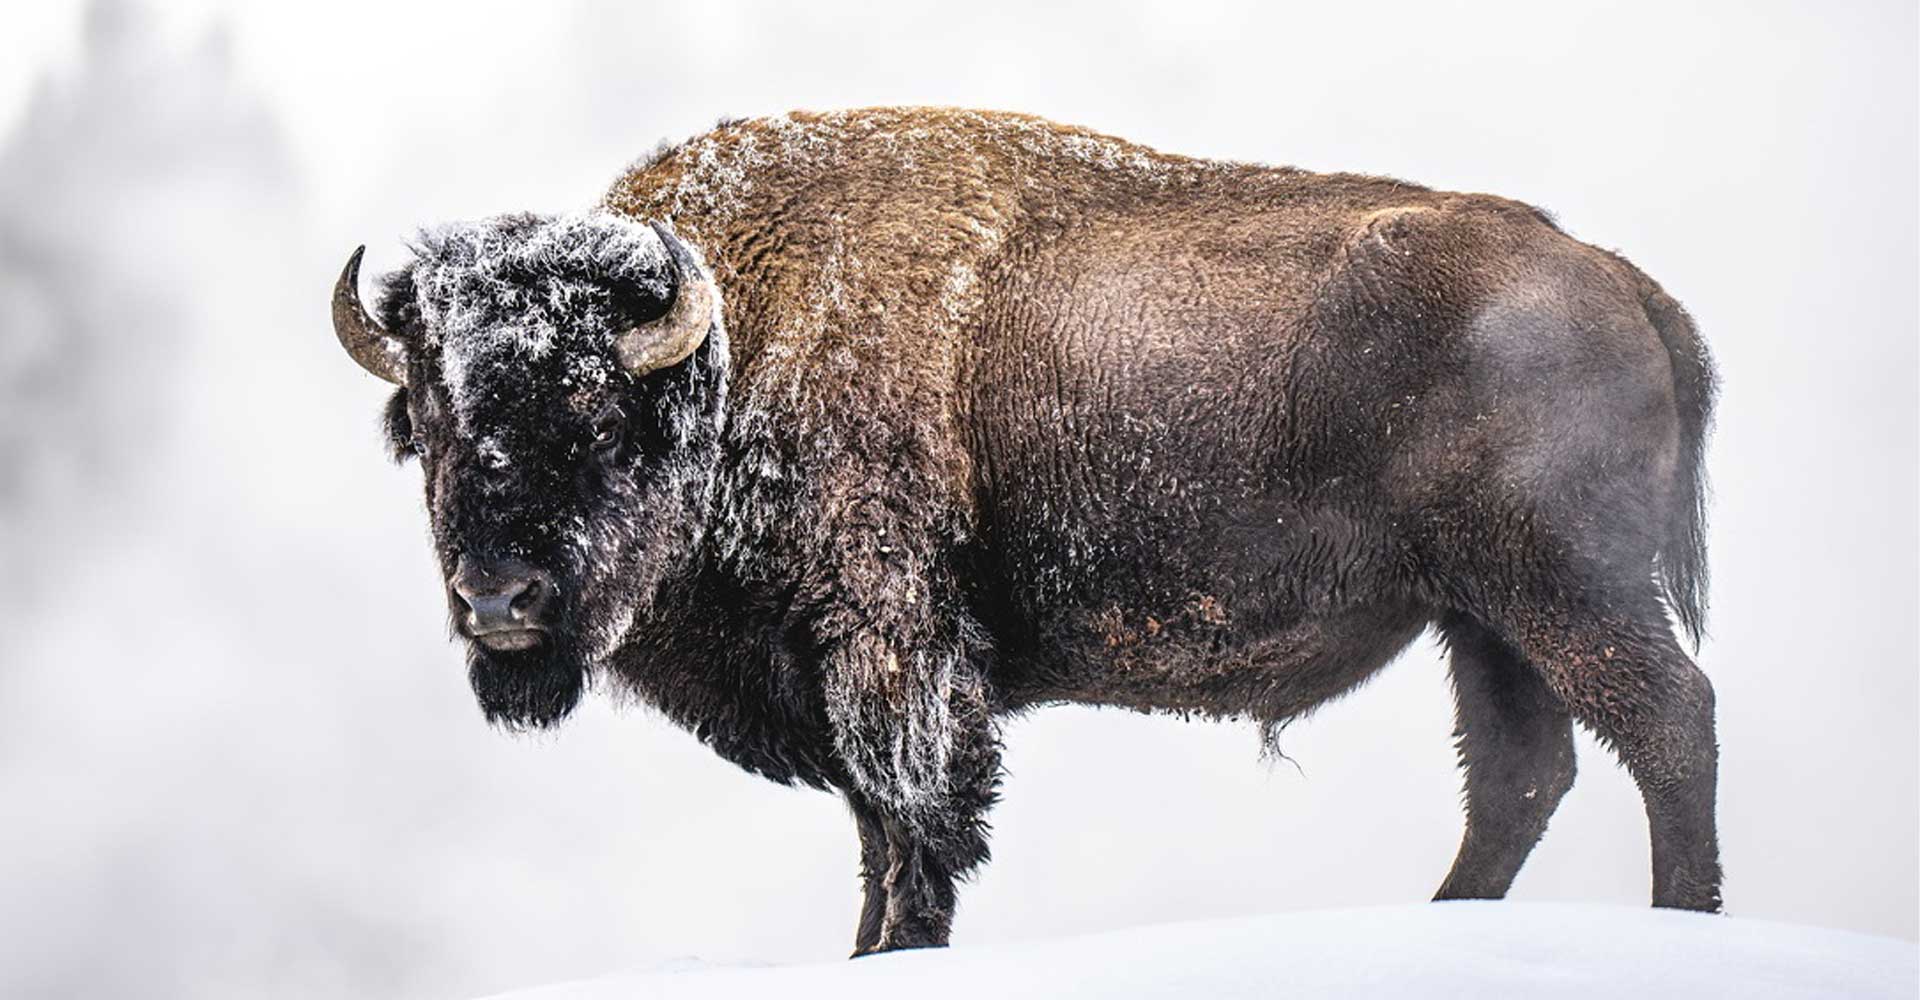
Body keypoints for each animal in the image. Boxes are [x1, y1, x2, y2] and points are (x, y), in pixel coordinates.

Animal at [330, 107, 1728, 952]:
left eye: (590, 407)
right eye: (436, 419)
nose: (499, 601)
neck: (735, 341)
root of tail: (1625, 283)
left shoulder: (892, 650)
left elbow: (918, 828)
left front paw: (899, 947)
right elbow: (878, 836)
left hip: (1565, 591)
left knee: (1667, 722)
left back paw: (1688, 922)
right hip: (1481, 614)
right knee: (1521, 774)